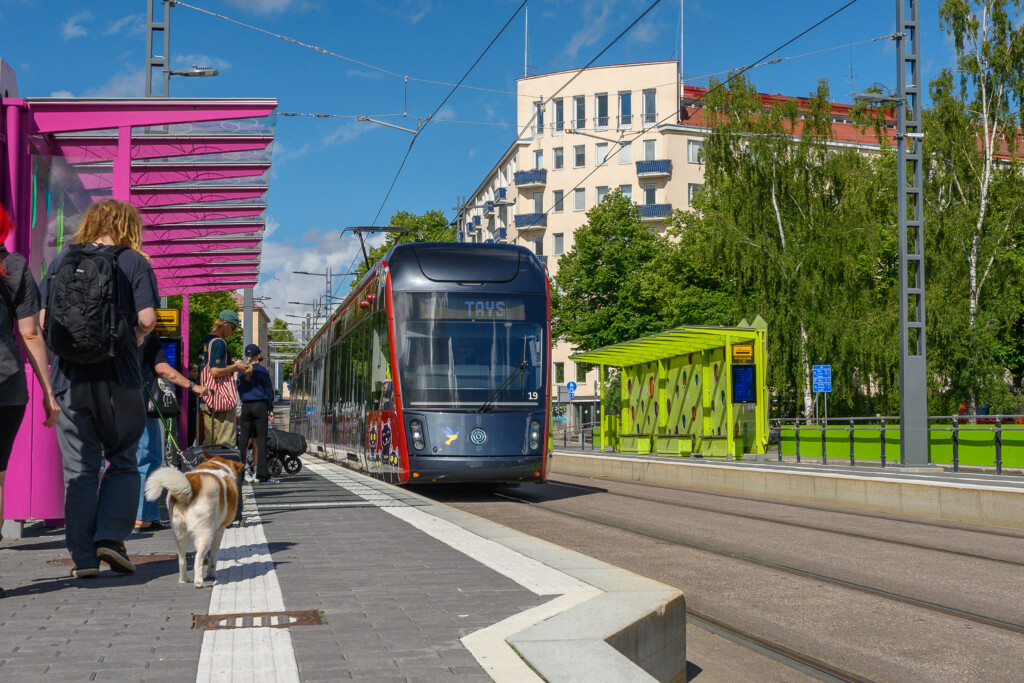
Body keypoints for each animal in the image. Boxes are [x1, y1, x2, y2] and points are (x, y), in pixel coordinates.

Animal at [143, 454, 244, 589]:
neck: (216, 465)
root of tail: (190, 490)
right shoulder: (219, 530)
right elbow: (213, 556)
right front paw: (211, 573)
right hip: (206, 533)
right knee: (198, 558)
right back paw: (199, 582)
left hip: (179, 534)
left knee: (182, 560)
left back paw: (183, 580)